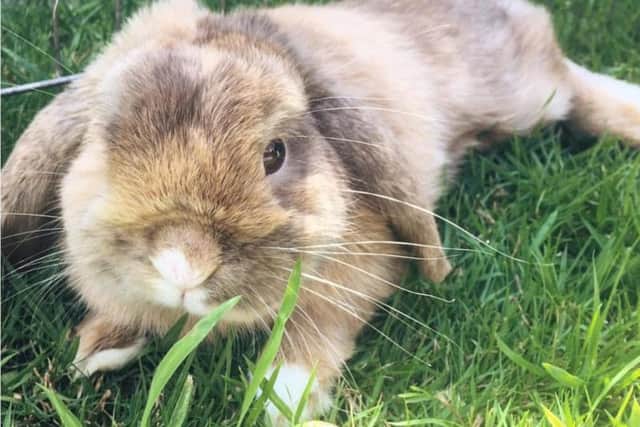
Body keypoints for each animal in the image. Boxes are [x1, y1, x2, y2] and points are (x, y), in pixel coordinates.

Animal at [2, 0, 639, 424]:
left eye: (274, 154)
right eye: (105, 141)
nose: (185, 264)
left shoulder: (360, 275)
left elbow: (315, 336)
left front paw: (284, 399)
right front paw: (94, 352)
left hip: (523, 94)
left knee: (567, 76)